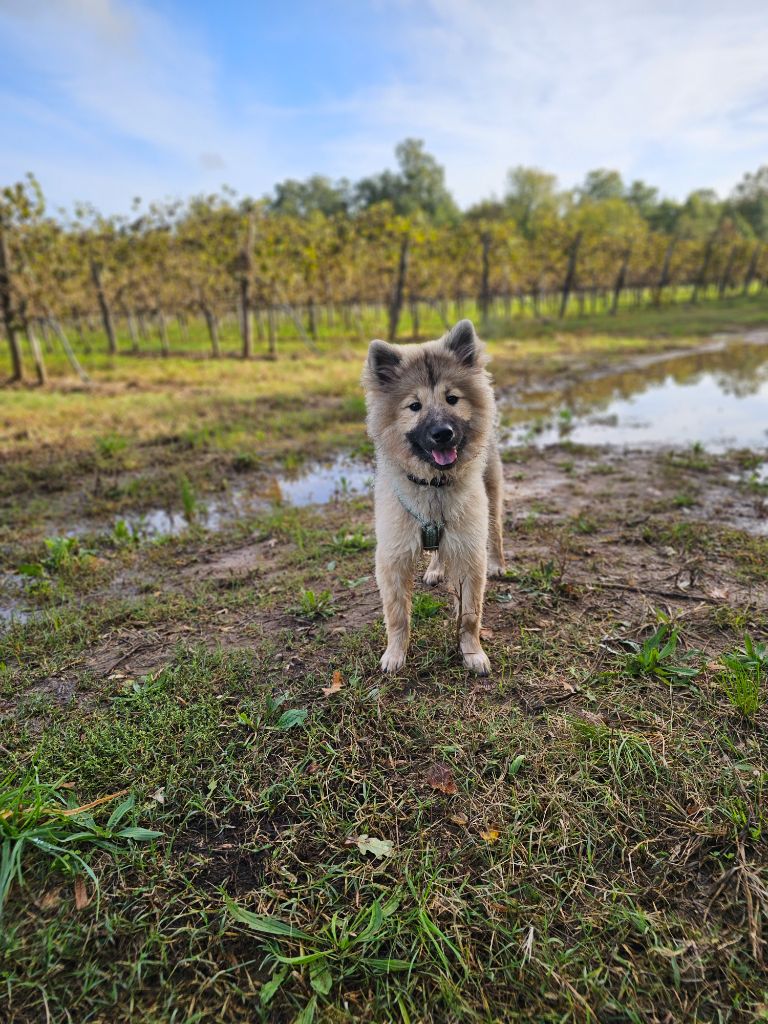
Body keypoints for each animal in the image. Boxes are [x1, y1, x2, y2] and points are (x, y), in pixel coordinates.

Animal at [364, 317, 507, 671]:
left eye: (452, 399)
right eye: (414, 406)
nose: (443, 433)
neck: (434, 487)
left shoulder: (469, 551)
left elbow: (469, 614)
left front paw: (472, 653)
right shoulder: (393, 555)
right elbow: (397, 616)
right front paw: (395, 654)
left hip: (492, 497)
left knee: (496, 531)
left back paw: (498, 562)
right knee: (439, 551)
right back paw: (435, 569)